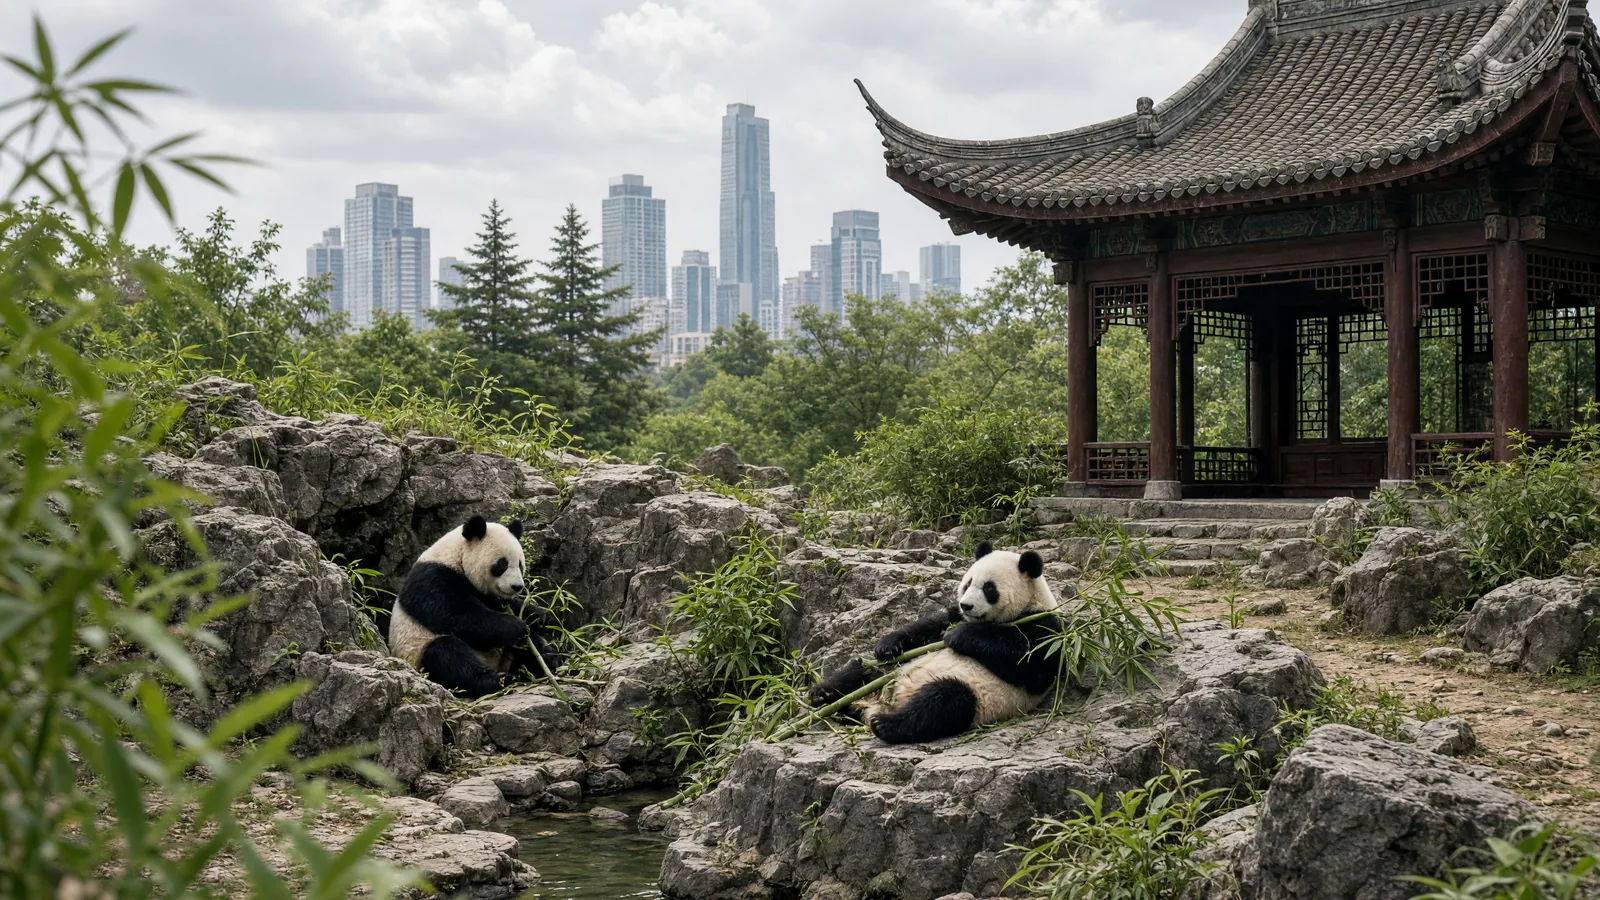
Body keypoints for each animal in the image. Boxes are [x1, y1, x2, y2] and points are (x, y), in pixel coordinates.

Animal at [388, 515, 564, 699]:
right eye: (502, 564)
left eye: (520, 564)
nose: (517, 586)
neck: (456, 557)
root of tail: (497, 665)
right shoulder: (432, 578)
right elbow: (457, 616)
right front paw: (517, 626)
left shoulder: (489, 596)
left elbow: (510, 608)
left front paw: (540, 617)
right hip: (418, 653)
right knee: (448, 656)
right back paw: (499, 680)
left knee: (528, 647)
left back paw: (547, 661)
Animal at [807, 542, 1064, 744]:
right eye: (968, 583)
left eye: (989, 588)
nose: (966, 605)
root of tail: (878, 704)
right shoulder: (952, 616)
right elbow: (925, 628)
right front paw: (888, 646)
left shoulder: (1047, 627)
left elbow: (1030, 662)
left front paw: (959, 636)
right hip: (886, 674)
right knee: (861, 670)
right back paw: (822, 694)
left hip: (977, 696)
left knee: (943, 702)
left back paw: (885, 724)